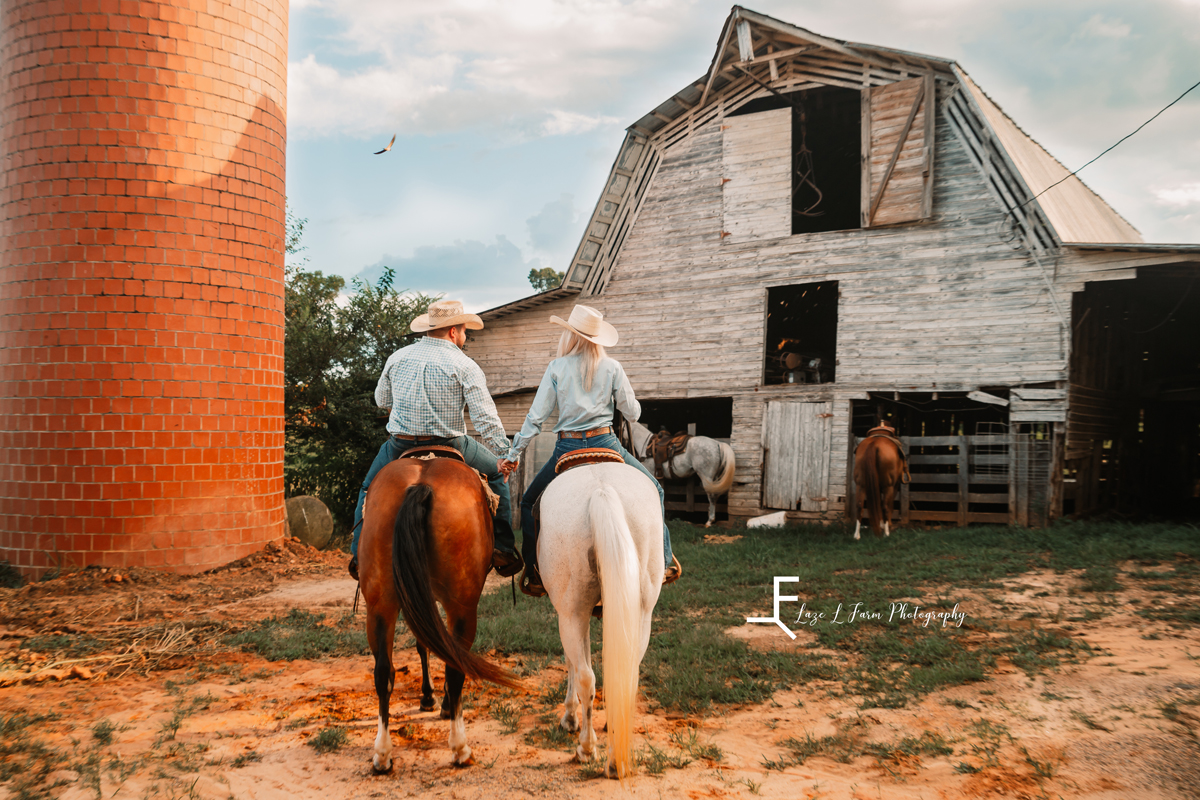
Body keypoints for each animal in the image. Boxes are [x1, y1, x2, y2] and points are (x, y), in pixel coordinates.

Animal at [537, 460, 662, 777]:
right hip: (642, 615)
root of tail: (601, 491)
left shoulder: (568, 615)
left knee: (586, 677)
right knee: (627, 675)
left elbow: (572, 663)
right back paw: (616, 756)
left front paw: (570, 717)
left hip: (572, 613)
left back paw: (587, 748)